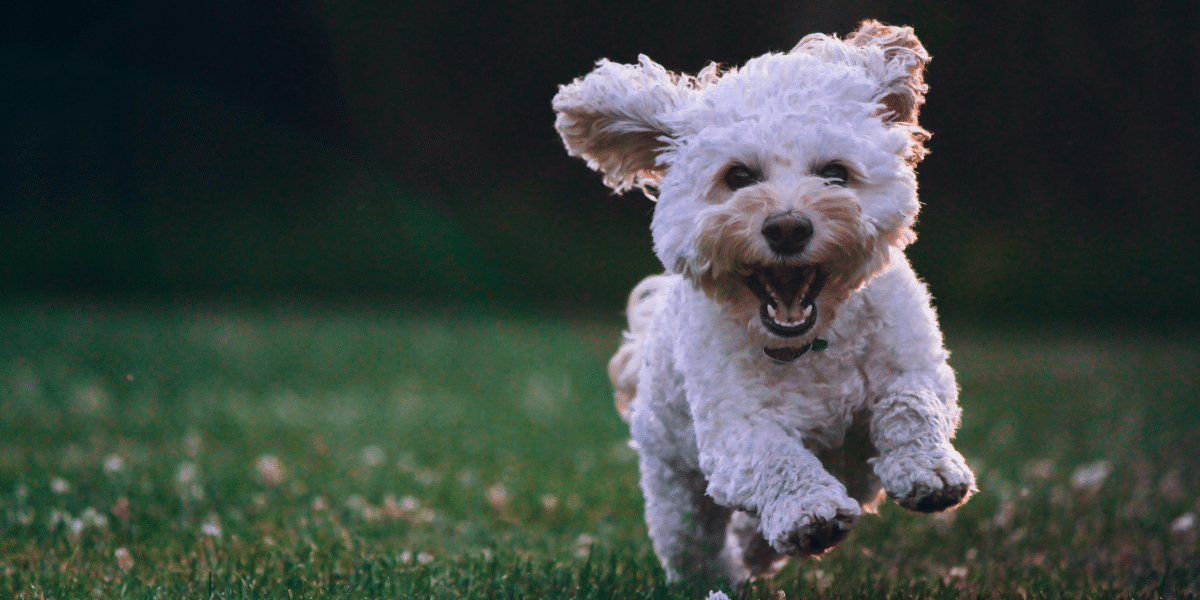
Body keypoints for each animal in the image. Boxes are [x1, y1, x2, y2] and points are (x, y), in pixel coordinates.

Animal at [552, 19, 974, 585]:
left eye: (835, 173)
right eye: (738, 177)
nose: (788, 227)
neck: (812, 345)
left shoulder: (916, 364)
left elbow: (911, 403)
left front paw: (929, 470)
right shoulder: (734, 430)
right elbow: (775, 458)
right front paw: (808, 513)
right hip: (674, 485)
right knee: (692, 543)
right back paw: (723, 575)